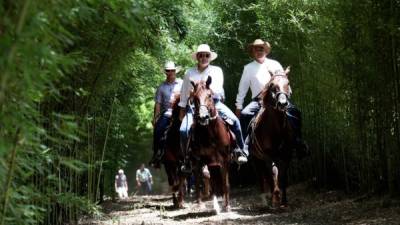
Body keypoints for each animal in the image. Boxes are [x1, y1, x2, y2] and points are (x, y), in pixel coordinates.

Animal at [188, 76, 233, 212]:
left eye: (209, 95)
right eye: (195, 97)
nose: (203, 117)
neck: (211, 133)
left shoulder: (225, 159)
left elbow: (225, 183)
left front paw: (227, 206)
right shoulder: (201, 160)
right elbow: (202, 180)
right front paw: (203, 204)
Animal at [252, 68, 296, 207]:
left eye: (288, 83)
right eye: (272, 85)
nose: (282, 103)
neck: (277, 129)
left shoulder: (287, 154)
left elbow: (282, 176)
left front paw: (284, 201)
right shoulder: (268, 155)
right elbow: (272, 174)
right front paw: (275, 198)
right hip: (257, 159)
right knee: (262, 176)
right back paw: (266, 199)